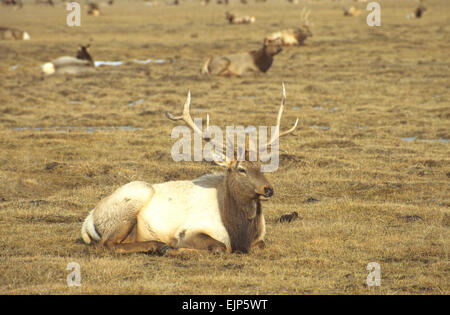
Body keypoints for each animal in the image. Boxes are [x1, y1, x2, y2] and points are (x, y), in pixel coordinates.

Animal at [81, 85, 298, 256]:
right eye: (241, 169)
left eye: (261, 166)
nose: (268, 189)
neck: (239, 234)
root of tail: (90, 217)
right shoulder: (190, 229)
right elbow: (219, 247)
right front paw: (172, 249)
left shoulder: (259, 239)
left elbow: (260, 246)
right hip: (135, 196)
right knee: (107, 244)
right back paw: (157, 246)